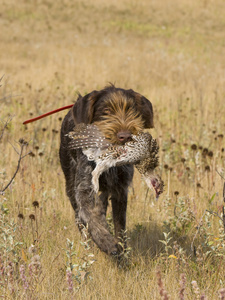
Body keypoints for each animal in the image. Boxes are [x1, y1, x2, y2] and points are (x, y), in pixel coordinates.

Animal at [59, 84, 154, 255]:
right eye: (106, 111)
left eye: (131, 110)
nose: (125, 136)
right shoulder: (84, 188)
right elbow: (89, 215)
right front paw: (105, 241)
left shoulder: (120, 190)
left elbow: (119, 226)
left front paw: (121, 251)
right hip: (69, 181)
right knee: (79, 215)